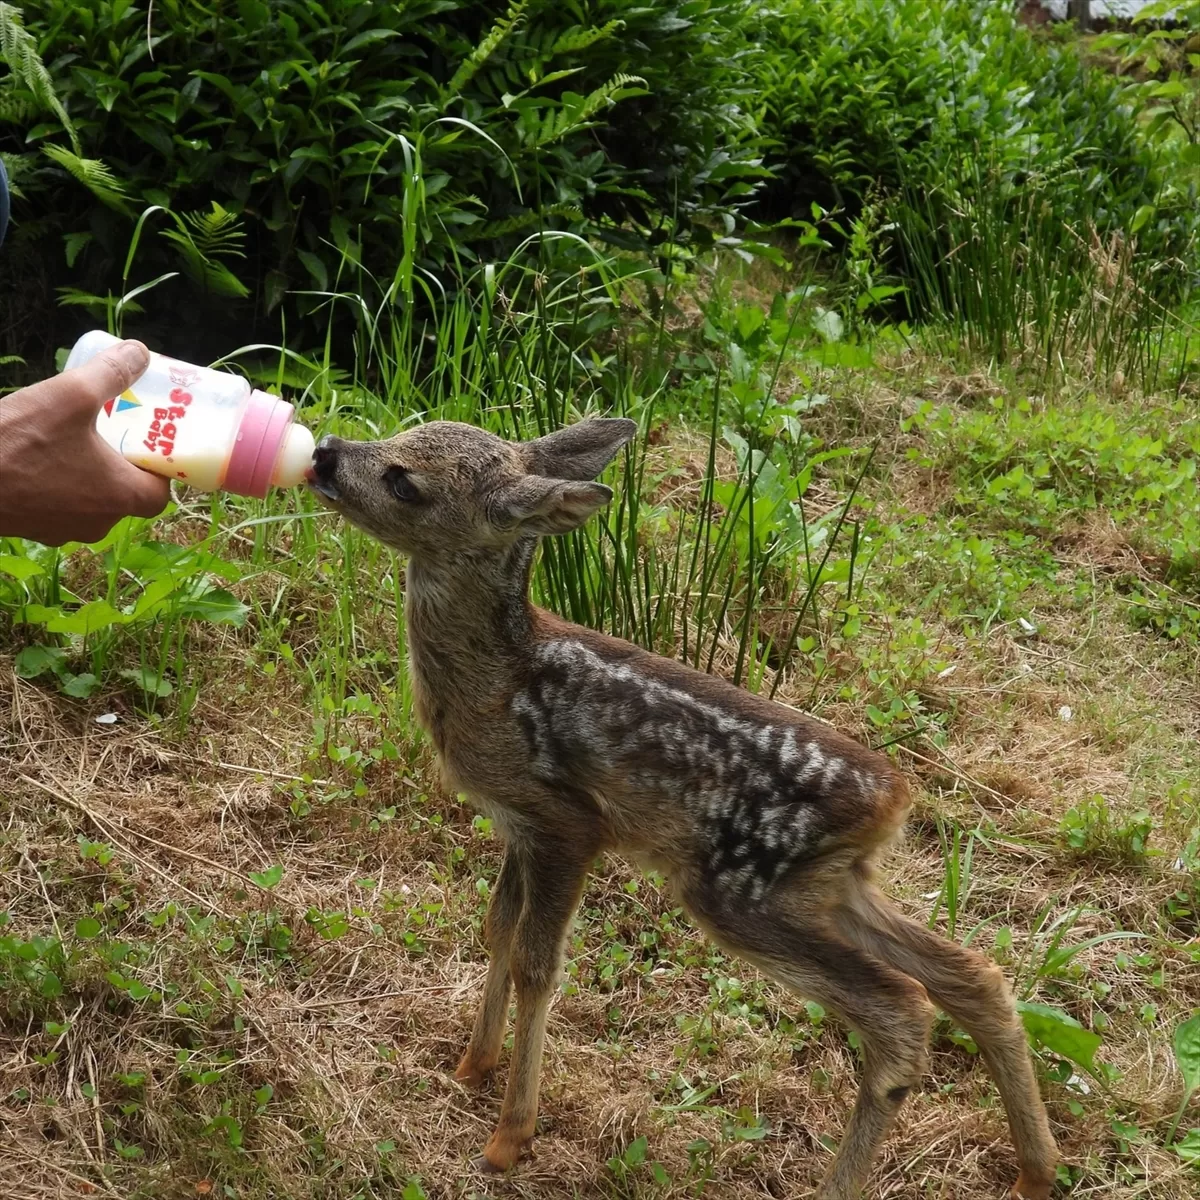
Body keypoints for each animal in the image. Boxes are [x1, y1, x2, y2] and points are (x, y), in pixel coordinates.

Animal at [312, 417, 1060, 1195]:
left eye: (404, 480)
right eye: (401, 434)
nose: (324, 454)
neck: (497, 682)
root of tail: (893, 799)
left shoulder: (567, 821)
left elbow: (537, 965)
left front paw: (508, 1138)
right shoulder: (517, 822)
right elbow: (496, 930)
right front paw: (471, 1067)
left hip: (739, 889)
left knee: (903, 1011)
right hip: (826, 888)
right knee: (972, 975)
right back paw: (1036, 1172)